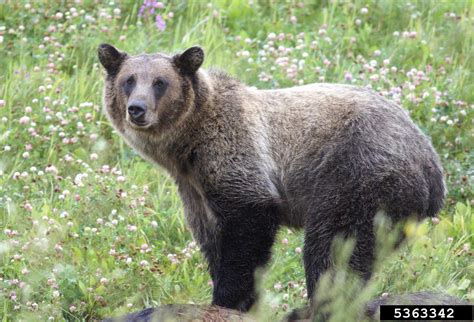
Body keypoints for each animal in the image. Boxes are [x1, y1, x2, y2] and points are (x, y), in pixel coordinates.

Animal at [98, 44, 446, 312]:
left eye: (160, 82)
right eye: (129, 80)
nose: (137, 109)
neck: (186, 148)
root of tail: (433, 169)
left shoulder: (235, 153)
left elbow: (247, 226)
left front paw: (227, 298)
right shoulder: (194, 188)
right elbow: (211, 238)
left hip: (358, 173)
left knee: (335, 246)